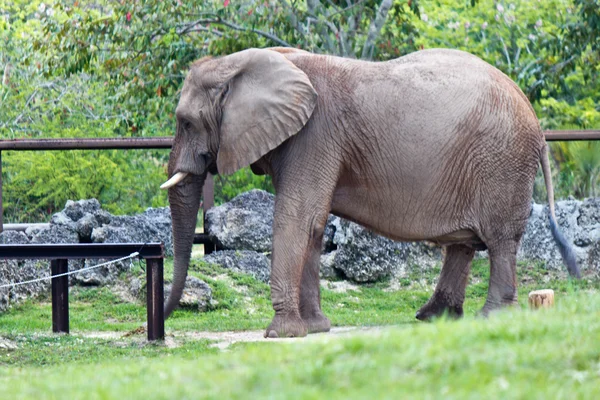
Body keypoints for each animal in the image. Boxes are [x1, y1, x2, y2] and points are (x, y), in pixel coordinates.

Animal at [159, 48, 576, 340]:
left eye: (186, 122)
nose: (159, 325)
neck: (242, 62)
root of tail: (537, 125)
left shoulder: (316, 134)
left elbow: (296, 216)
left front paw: (281, 334)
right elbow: (313, 223)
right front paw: (316, 328)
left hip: (501, 163)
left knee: (500, 241)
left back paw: (492, 317)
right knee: (464, 244)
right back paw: (433, 317)